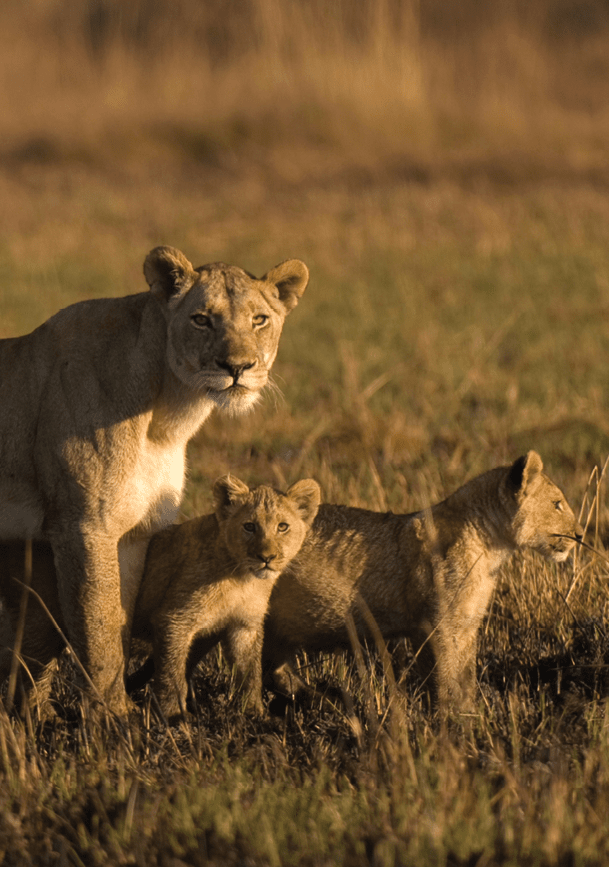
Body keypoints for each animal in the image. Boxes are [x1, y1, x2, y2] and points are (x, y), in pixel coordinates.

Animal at [0, 246, 309, 715]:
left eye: (259, 319)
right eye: (201, 319)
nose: (238, 367)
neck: (168, 413)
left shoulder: (133, 533)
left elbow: (120, 623)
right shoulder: (83, 526)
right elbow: (99, 628)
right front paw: (113, 720)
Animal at [262, 451, 583, 713]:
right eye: (557, 504)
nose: (580, 534)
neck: (491, 548)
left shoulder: (467, 624)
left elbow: (465, 677)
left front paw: (471, 716)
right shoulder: (434, 625)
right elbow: (443, 680)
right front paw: (449, 725)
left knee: (275, 671)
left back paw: (326, 702)